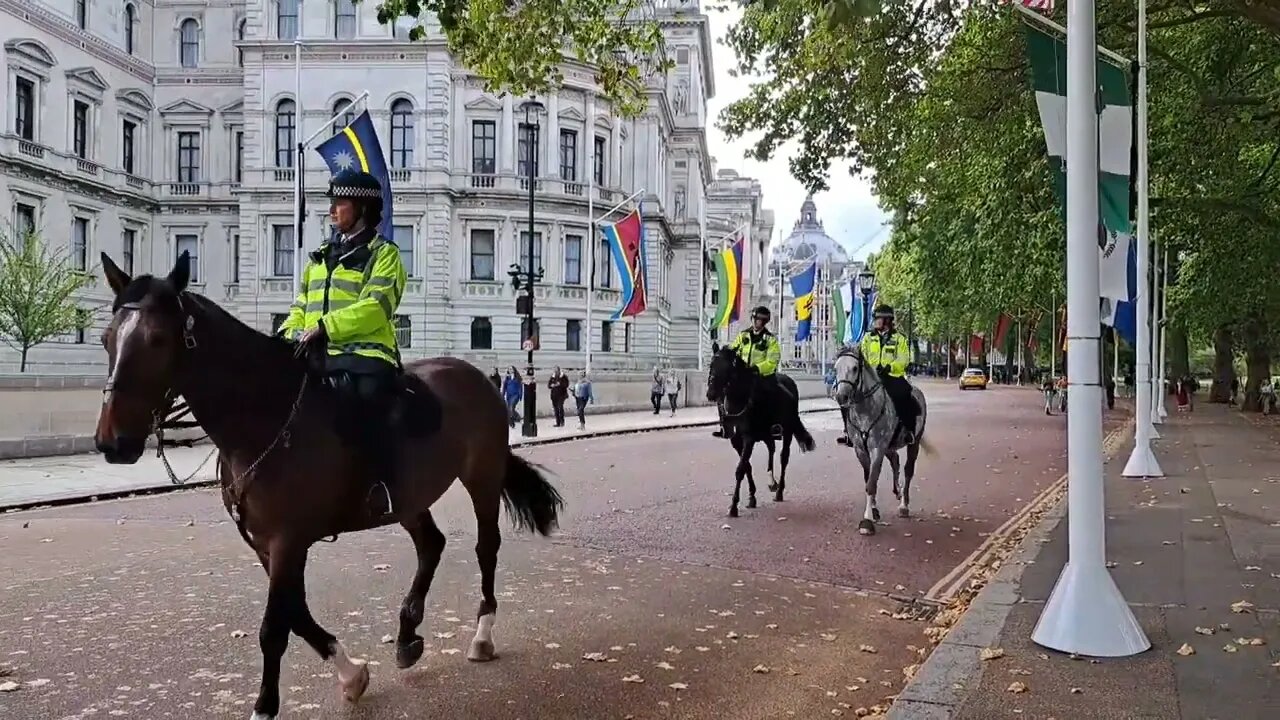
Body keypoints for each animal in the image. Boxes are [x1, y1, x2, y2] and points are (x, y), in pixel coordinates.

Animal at [92, 252, 563, 717]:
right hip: (408, 497)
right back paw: (407, 634)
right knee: (431, 544)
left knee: (486, 547)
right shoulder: (266, 542)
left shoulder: (287, 539)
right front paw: (352, 673)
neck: (266, 417)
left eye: (157, 339)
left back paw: (482, 634)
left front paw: (265, 706)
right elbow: (296, 613)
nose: (113, 443)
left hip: (481, 476)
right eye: (105, 338)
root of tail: (475, 374)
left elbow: (274, 627)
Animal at [706, 345, 814, 512]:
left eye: (727, 367)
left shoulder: (749, 439)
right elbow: (746, 467)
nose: (711, 393)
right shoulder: (737, 441)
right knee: (771, 448)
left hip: (787, 430)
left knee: (784, 457)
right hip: (766, 434)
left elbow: (740, 469)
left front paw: (734, 506)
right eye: (711, 364)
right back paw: (772, 481)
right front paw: (751, 497)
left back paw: (779, 491)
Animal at [829, 340, 931, 532]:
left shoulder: (877, 448)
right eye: (835, 367)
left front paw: (867, 521)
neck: (865, 409)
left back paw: (904, 505)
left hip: (913, 443)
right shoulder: (861, 450)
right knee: (895, 460)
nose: (841, 396)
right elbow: (869, 478)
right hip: (889, 446)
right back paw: (897, 490)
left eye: (855, 368)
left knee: (908, 470)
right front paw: (874, 511)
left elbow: (872, 482)